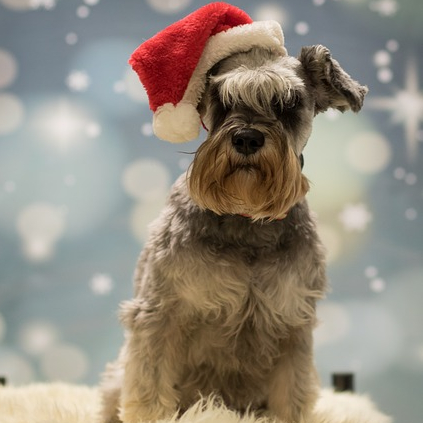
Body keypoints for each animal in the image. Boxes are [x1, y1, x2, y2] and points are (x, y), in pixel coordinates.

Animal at [99, 44, 368, 423]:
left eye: (288, 103)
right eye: (221, 99)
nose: (247, 138)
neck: (247, 215)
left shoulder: (291, 319)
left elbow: (292, 393)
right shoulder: (160, 313)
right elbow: (149, 389)